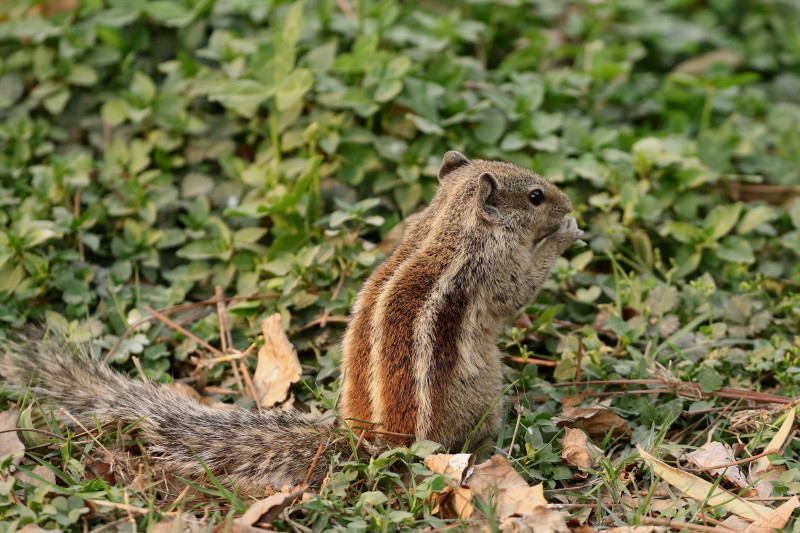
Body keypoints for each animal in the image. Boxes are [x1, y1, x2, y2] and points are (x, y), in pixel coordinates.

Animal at [3, 152, 584, 496]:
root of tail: (372, 445)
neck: (449, 220)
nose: (568, 201)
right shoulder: (496, 269)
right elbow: (520, 291)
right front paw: (565, 234)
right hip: (484, 397)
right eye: (536, 195)